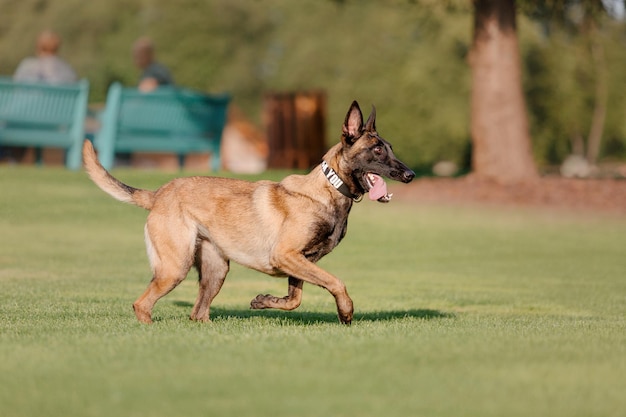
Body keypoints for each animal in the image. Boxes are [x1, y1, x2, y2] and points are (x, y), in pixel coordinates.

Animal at [84, 100, 414, 322]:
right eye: (377, 150)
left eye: (390, 148)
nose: (410, 174)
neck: (328, 190)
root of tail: (159, 193)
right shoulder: (287, 255)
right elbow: (336, 281)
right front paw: (346, 311)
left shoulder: (301, 261)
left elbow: (295, 299)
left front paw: (264, 301)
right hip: (174, 267)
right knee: (142, 304)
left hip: (216, 270)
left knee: (197, 313)